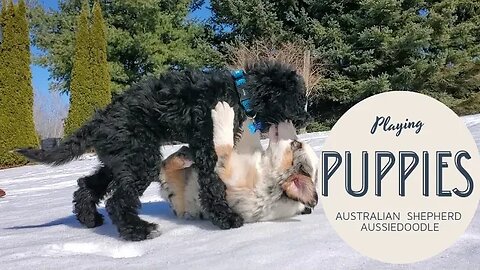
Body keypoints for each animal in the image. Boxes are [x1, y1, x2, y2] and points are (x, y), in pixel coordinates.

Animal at [158, 101, 320, 221]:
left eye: (296, 144)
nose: (288, 119)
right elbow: (249, 136)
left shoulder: (229, 169)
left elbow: (224, 145)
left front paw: (224, 112)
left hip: (178, 193)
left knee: (166, 167)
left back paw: (183, 156)